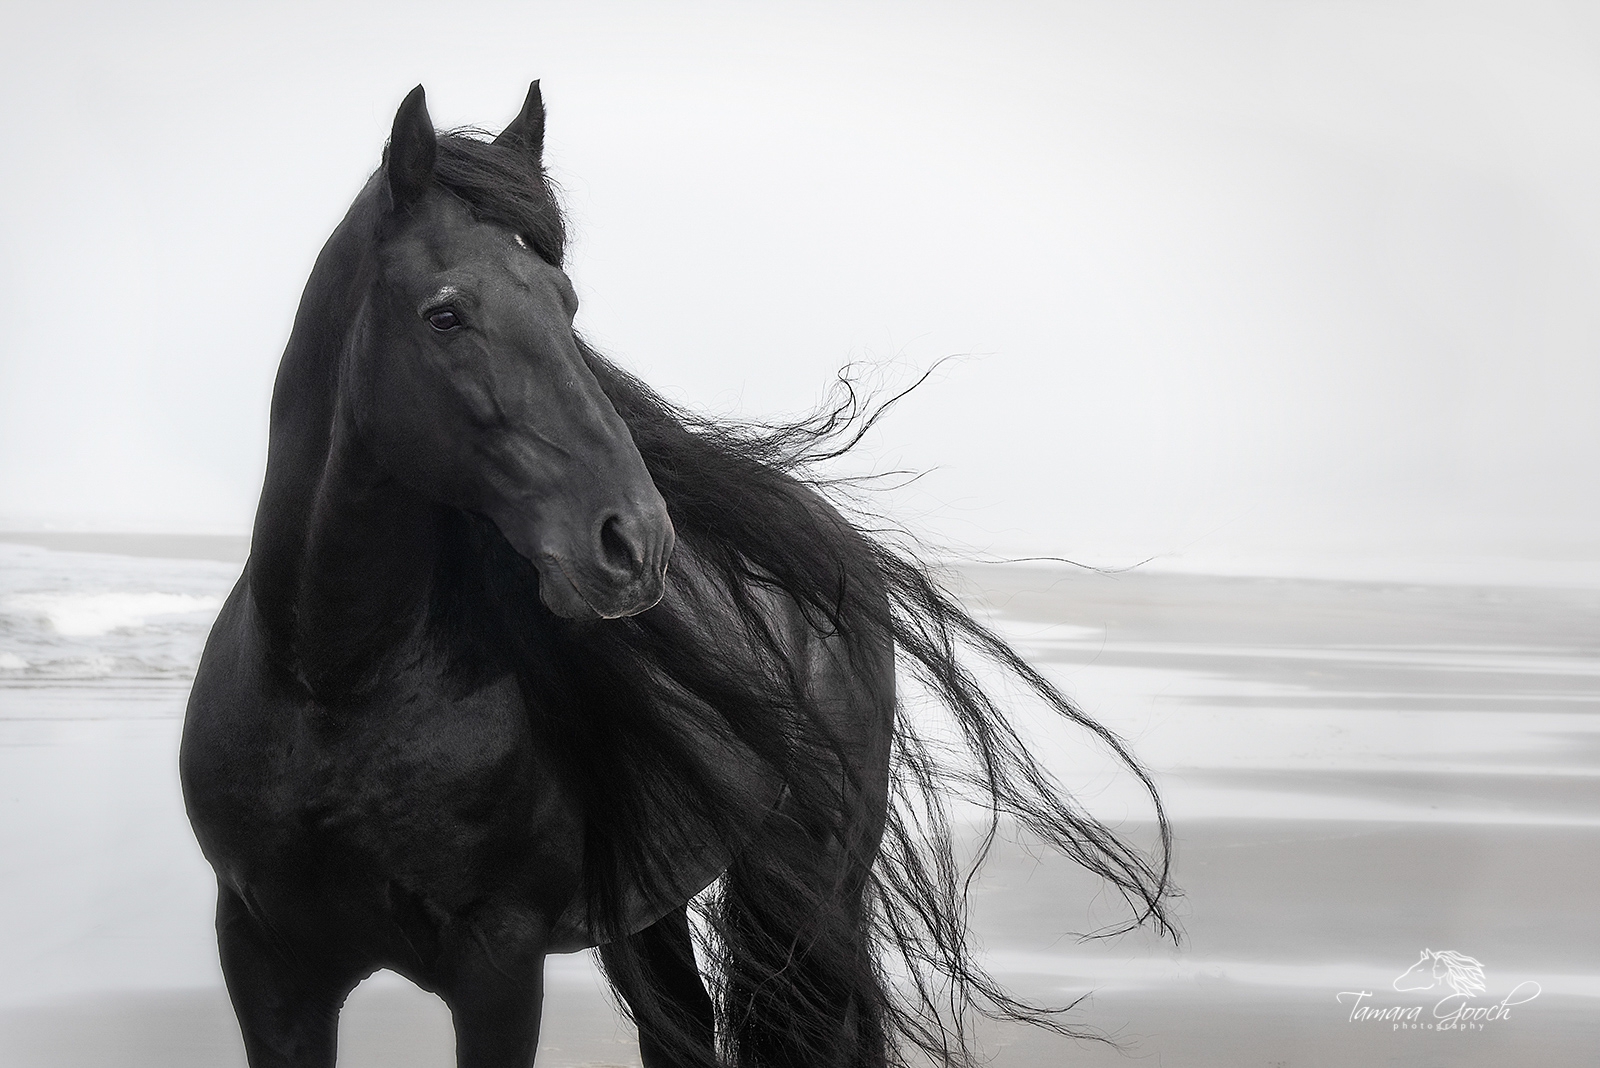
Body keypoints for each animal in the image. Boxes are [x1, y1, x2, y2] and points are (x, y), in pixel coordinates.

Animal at [181, 85, 1177, 1068]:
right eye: (445, 313)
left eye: (566, 304)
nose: (635, 539)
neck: (331, 684)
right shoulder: (266, 967)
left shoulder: (497, 966)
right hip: (645, 910)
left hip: (809, 881)